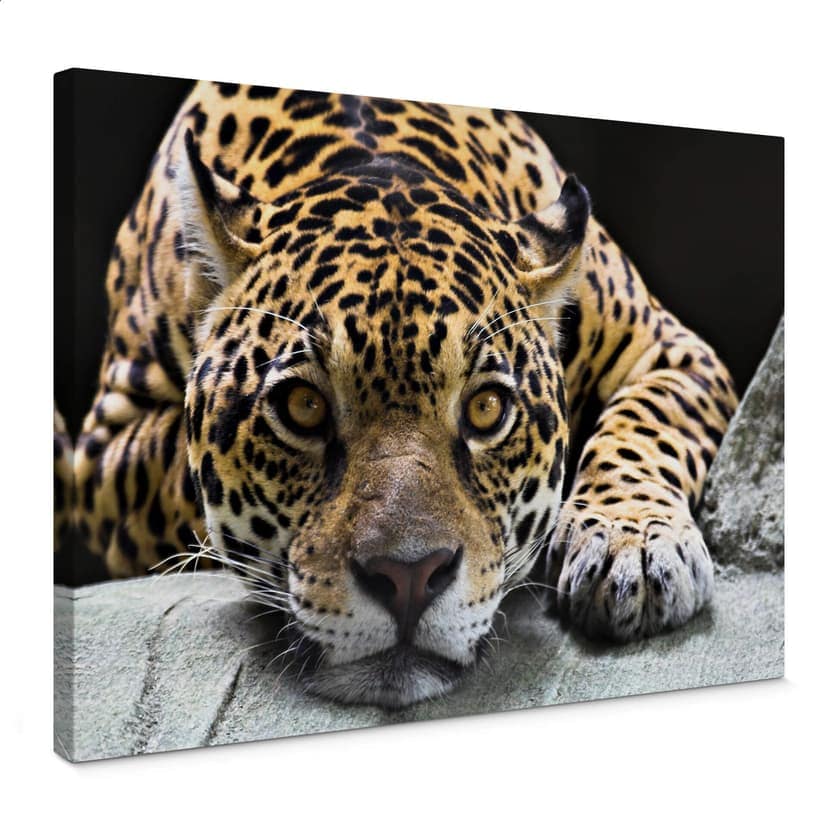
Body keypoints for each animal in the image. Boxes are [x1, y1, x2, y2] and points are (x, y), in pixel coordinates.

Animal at [64, 81, 738, 708]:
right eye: (303, 408)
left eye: (486, 409)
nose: (410, 577)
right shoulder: (103, 453)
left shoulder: (667, 349)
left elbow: (646, 425)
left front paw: (635, 548)